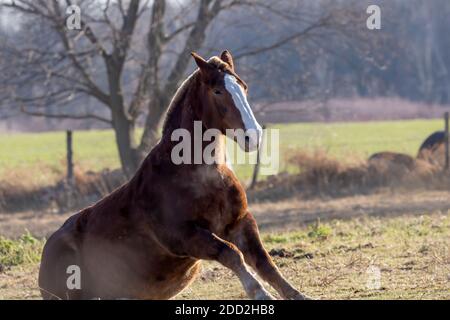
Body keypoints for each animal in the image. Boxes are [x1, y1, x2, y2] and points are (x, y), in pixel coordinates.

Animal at [38, 50, 310, 300]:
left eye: (243, 87)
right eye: (218, 91)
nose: (253, 137)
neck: (203, 177)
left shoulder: (240, 222)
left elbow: (264, 261)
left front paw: (297, 295)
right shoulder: (182, 236)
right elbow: (231, 252)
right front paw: (261, 294)